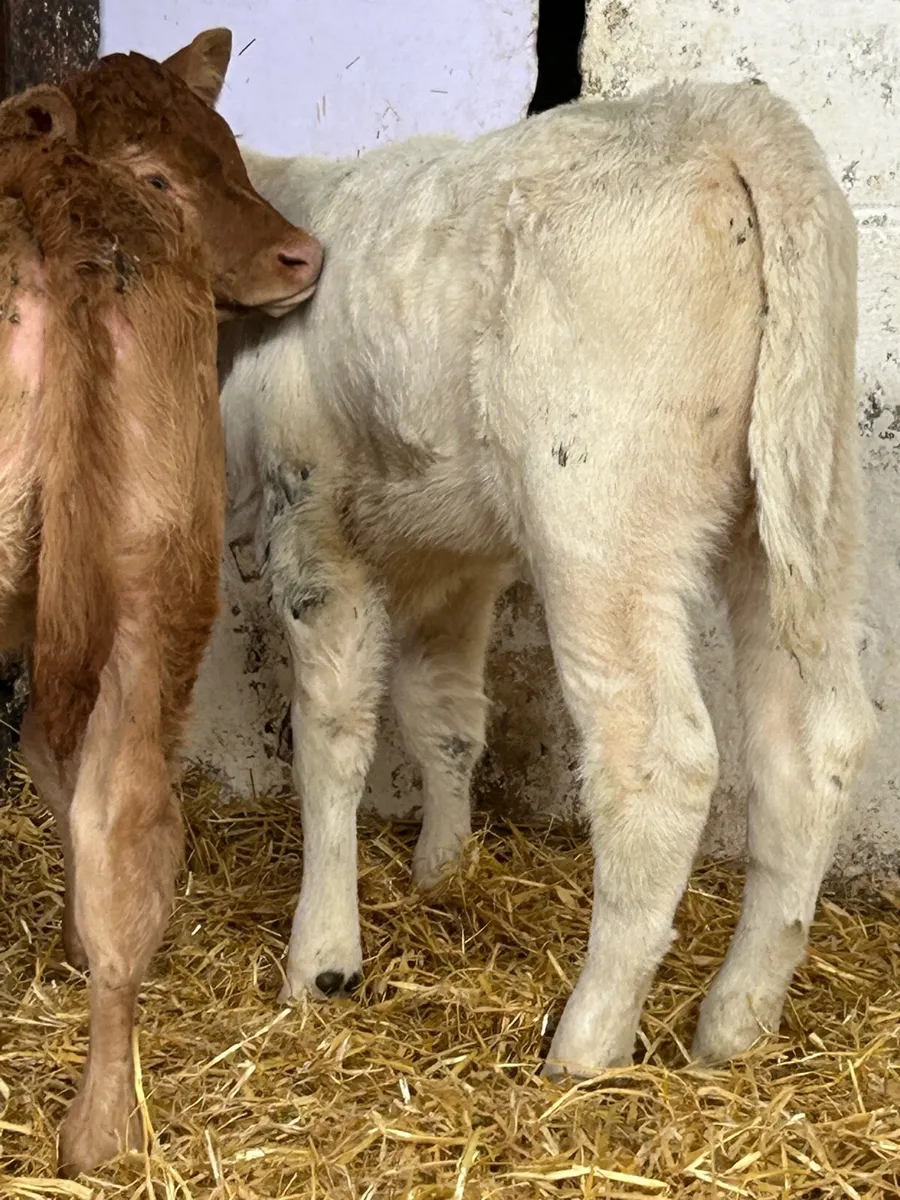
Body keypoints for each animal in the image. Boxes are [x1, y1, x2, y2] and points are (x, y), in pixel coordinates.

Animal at [0, 29, 322, 1176]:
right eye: (159, 173)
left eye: (226, 145)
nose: (305, 255)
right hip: (156, 569)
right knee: (121, 825)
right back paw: (101, 1132)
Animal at [219, 81, 876, 1082]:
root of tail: (722, 114)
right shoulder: (457, 558)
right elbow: (443, 715)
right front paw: (443, 870)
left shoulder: (311, 523)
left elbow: (331, 736)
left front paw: (321, 958)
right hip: (803, 505)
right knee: (812, 746)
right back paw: (735, 1024)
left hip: (601, 518)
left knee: (659, 760)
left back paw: (587, 1044)